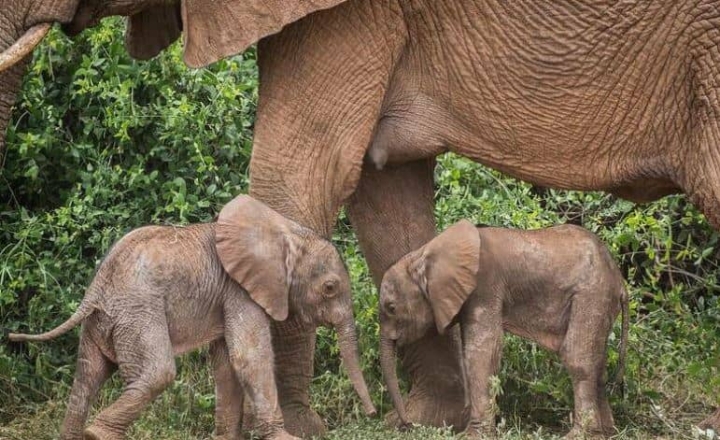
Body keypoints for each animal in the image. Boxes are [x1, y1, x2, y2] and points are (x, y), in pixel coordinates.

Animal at [9, 195, 376, 440]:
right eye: (330, 288)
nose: (374, 414)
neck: (284, 232)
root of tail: (96, 287)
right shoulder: (239, 290)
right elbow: (249, 357)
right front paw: (285, 438)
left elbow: (227, 364)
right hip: (138, 312)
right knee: (157, 373)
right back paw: (97, 434)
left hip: (104, 320)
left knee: (87, 377)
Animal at [380, 222, 628, 438]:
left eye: (391, 308)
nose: (407, 425)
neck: (424, 254)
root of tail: (620, 280)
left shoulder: (484, 287)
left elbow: (481, 353)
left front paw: (472, 436)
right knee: (598, 365)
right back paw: (607, 433)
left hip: (592, 293)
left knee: (578, 359)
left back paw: (579, 435)